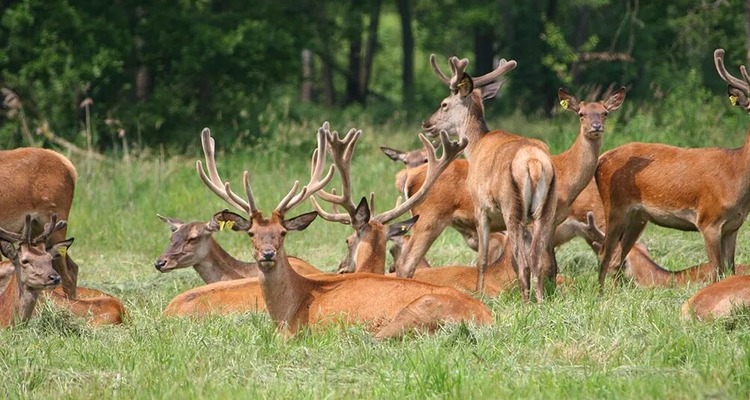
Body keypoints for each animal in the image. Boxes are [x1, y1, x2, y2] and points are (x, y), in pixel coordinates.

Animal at [194, 124, 494, 338]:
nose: (267, 254)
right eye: (251, 233)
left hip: (419, 309)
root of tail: (486, 318)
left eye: (283, 233)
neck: (290, 310)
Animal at [424, 54, 560, 302]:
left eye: (444, 104)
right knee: (535, 257)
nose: (427, 124)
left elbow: (483, 258)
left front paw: (478, 293)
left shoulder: (480, 206)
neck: (475, 146)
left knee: (523, 260)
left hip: (511, 206)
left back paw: (526, 302)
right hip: (546, 208)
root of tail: (534, 163)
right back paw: (540, 300)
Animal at [600, 47, 750, 288]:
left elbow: (730, 270)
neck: (736, 175)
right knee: (605, 253)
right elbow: (716, 271)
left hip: (637, 217)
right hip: (614, 207)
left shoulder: (733, 225)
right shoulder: (708, 220)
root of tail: (601, 158)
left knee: (616, 258)